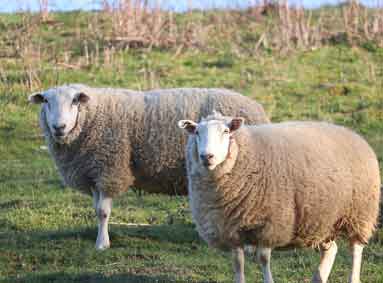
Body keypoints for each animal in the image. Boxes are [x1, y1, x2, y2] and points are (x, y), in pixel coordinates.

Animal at [178, 113, 382, 283]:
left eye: (226, 131)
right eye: (197, 132)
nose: (207, 156)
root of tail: (353, 133)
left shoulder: (270, 224)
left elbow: (263, 259)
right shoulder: (230, 229)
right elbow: (237, 262)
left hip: (360, 213)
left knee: (355, 249)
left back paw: (353, 278)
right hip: (323, 219)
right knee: (331, 249)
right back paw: (319, 278)